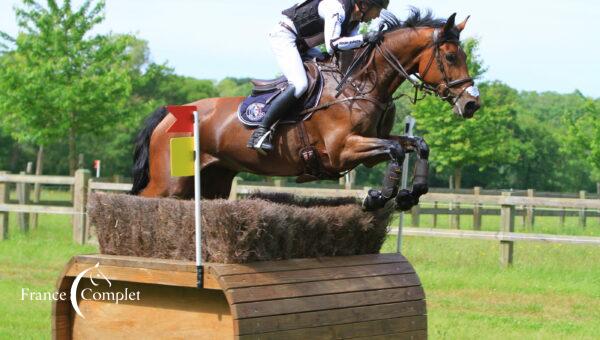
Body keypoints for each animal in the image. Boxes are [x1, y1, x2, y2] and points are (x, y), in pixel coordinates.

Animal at [132, 10, 482, 211]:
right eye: (451, 56)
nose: (472, 103)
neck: (360, 83)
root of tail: (168, 114)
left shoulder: (370, 144)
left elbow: (417, 145)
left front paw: (412, 194)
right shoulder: (342, 150)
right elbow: (396, 150)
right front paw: (377, 198)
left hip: (213, 179)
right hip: (170, 183)